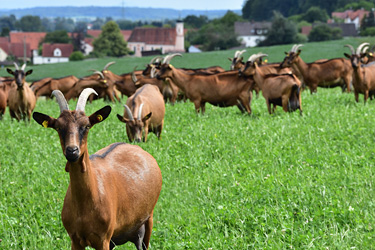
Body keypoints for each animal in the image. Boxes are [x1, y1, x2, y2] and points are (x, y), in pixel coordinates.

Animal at [32, 88, 162, 250]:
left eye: (87, 126)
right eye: (58, 127)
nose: (72, 151)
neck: (84, 206)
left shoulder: (103, 239)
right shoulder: (75, 239)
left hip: (148, 220)